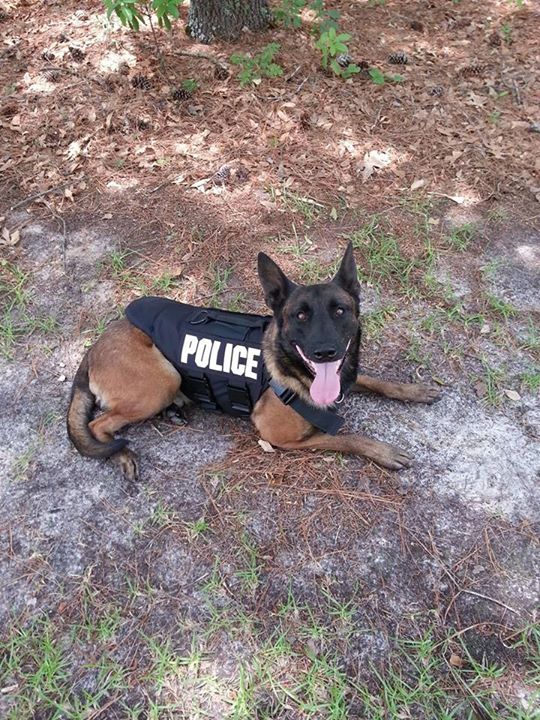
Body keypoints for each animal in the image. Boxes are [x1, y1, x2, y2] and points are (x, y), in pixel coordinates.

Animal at [66, 243, 438, 484]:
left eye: (339, 311)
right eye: (300, 315)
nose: (325, 352)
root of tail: (93, 348)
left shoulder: (344, 376)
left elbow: (375, 380)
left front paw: (414, 390)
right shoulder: (283, 439)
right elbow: (347, 438)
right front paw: (382, 450)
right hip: (162, 379)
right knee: (98, 426)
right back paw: (120, 453)